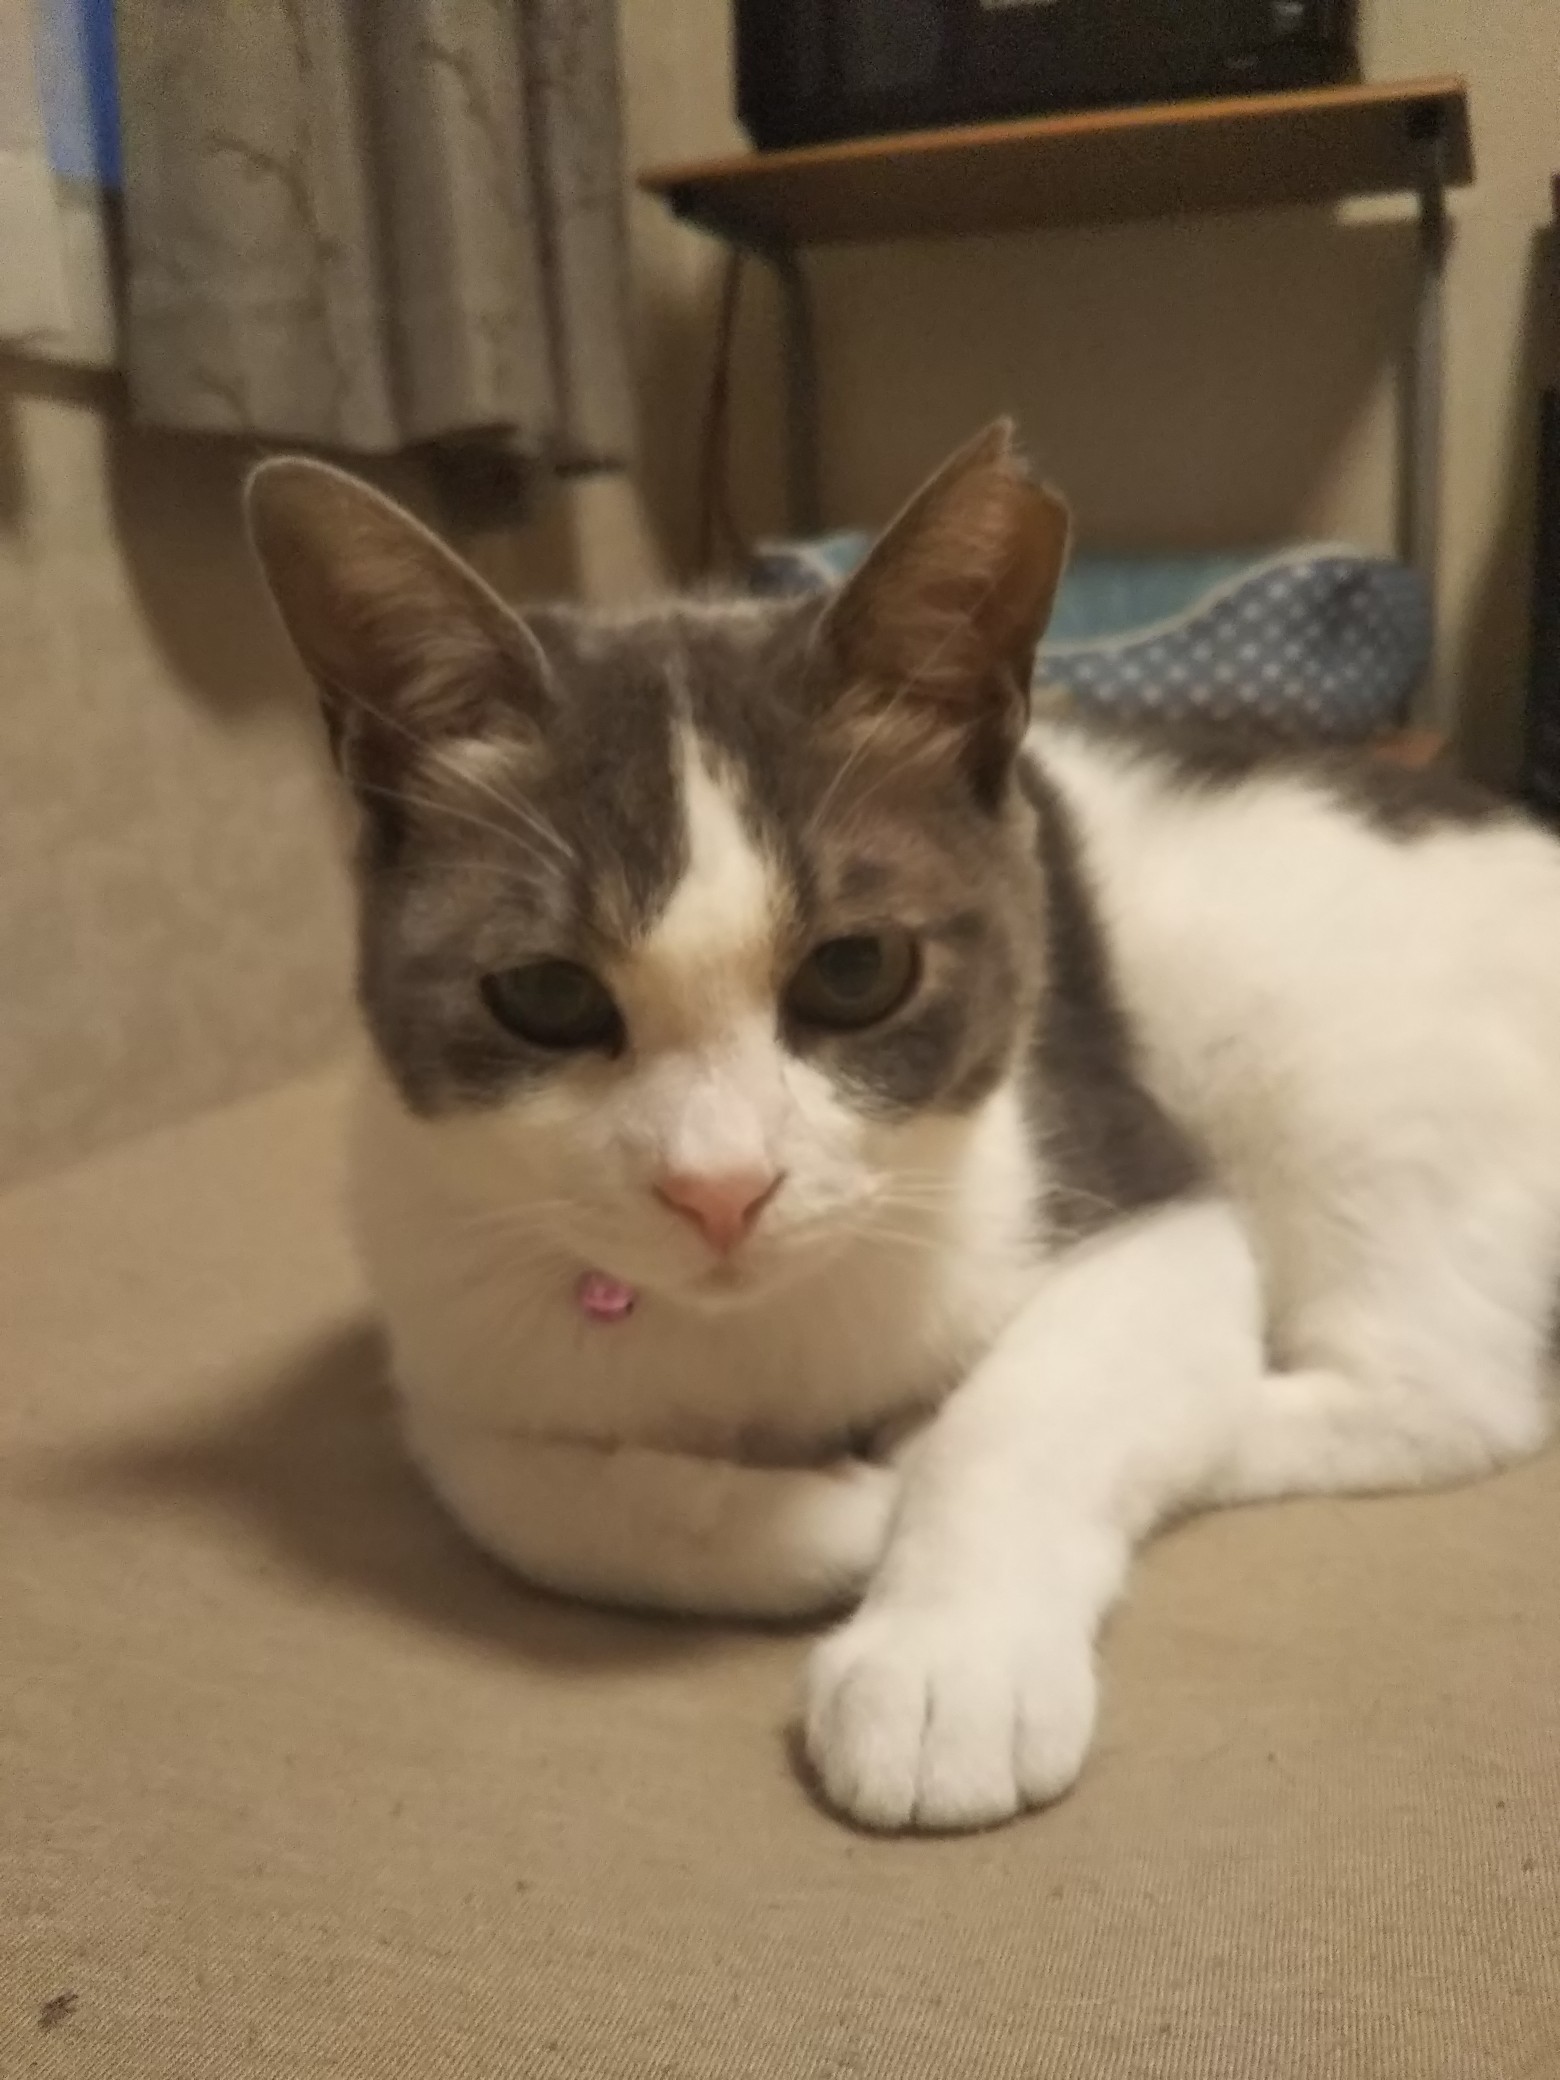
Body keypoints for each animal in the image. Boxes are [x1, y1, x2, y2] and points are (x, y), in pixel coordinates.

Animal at [246, 424, 1560, 1834]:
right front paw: (826, 1520)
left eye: (856, 969)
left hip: (1320, 1052)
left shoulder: (1132, 1179)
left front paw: (946, 1664)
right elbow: (528, 1495)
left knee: (1443, 1396)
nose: (722, 1186)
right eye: (546, 996)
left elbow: (1027, 1409)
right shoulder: (447, 1320)